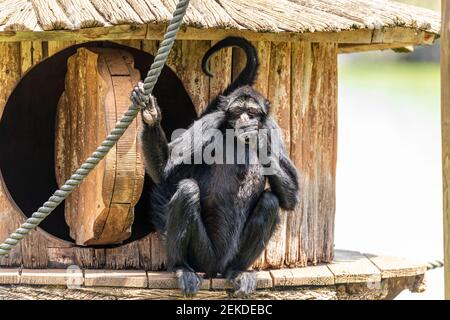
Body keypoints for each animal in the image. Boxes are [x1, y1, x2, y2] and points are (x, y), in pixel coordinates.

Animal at [131, 36, 298, 296]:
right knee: (188, 190)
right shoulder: (212, 122)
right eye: (238, 111)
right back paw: (181, 267)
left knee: (270, 201)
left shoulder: (272, 128)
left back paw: (237, 271)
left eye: (252, 112)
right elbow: (164, 171)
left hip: (231, 256)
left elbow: (292, 199)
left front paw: (258, 141)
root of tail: (216, 266)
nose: (245, 120)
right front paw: (150, 113)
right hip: (203, 255)